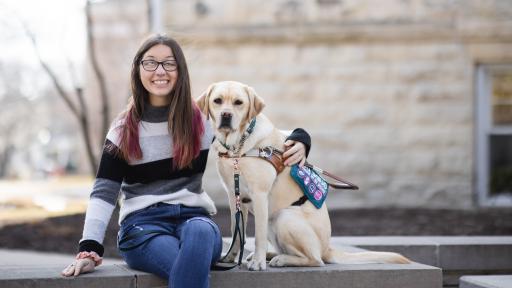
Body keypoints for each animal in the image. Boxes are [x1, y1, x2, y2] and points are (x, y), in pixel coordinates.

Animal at [198, 80, 410, 270]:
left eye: (238, 102)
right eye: (217, 101)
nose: (226, 115)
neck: (237, 148)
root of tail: (327, 248)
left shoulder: (259, 195)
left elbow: (258, 236)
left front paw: (258, 262)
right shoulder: (234, 196)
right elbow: (236, 231)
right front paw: (229, 258)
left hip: (283, 217)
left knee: (315, 259)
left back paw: (279, 259)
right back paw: (272, 255)